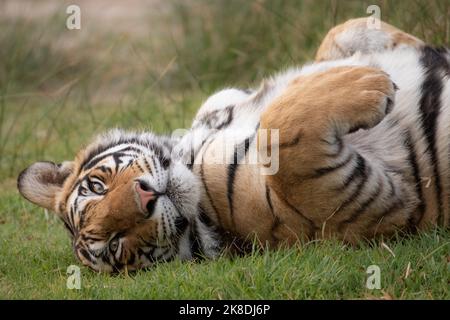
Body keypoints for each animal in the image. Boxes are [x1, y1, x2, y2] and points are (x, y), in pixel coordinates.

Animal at [17, 18, 450, 272]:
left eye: (96, 186)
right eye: (114, 247)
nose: (145, 198)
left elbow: (339, 34)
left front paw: (399, 50)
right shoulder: (370, 207)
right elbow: (281, 124)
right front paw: (374, 84)